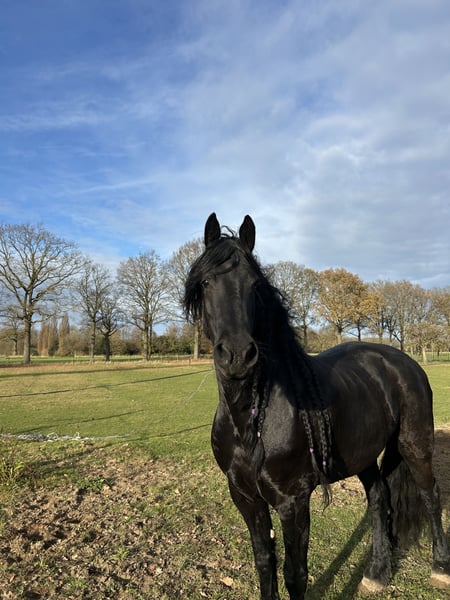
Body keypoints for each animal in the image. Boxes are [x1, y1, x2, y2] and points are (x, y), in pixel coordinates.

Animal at [184, 213, 450, 600]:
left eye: (255, 285)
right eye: (205, 282)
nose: (237, 355)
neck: (250, 420)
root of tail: (403, 361)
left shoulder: (293, 502)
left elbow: (295, 574)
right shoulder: (246, 497)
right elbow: (264, 561)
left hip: (415, 445)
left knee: (431, 495)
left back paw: (440, 567)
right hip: (363, 455)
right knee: (379, 498)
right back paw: (377, 572)